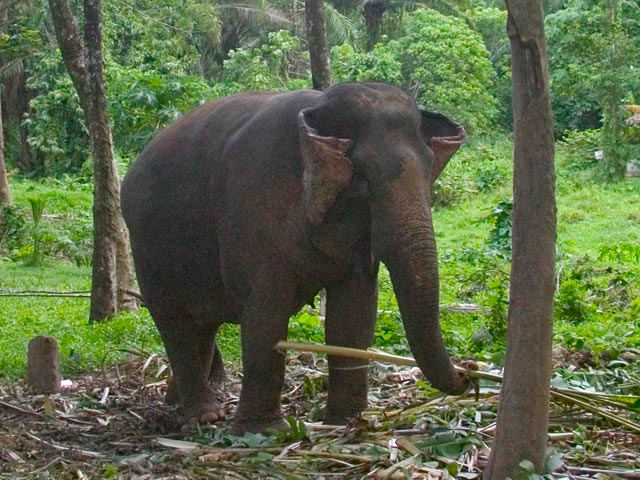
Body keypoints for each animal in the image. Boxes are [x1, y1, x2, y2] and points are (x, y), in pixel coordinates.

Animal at [120, 82, 468, 436]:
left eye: (429, 173)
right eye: (360, 180)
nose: (468, 371)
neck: (319, 105)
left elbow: (354, 314)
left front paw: (347, 422)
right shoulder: (251, 205)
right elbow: (266, 311)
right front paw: (264, 431)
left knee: (201, 327)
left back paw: (180, 404)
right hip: (146, 249)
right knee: (175, 323)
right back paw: (205, 416)